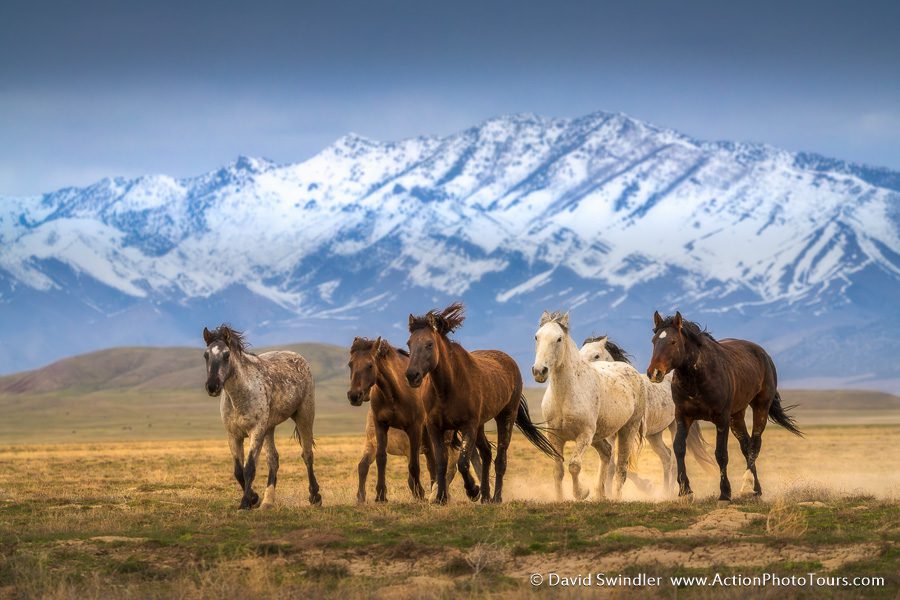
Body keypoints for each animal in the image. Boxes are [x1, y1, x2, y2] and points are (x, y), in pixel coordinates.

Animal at [202, 326, 322, 508]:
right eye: (206, 355)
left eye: (226, 354)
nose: (212, 386)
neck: (240, 396)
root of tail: (298, 358)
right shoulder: (234, 436)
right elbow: (238, 471)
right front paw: (254, 498)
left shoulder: (256, 432)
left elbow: (249, 468)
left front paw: (245, 503)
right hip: (269, 428)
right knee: (273, 459)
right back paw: (267, 502)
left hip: (304, 416)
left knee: (307, 455)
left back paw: (315, 496)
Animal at [348, 338, 468, 502]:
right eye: (350, 364)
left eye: (370, 365)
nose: (354, 396)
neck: (394, 393)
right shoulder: (380, 427)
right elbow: (379, 459)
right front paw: (380, 495)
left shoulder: (414, 430)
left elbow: (414, 466)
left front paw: (420, 493)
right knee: (433, 463)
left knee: (447, 466)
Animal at [406, 302, 560, 504]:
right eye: (409, 344)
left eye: (429, 344)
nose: (412, 375)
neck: (447, 388)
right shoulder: (435, 427)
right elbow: (441, 462)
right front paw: (440, 498)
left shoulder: (468, 426)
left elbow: (463, 463)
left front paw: (473, 490)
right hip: (480, 426)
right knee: (486, 453)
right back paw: (486, 496)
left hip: (505, 417)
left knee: (500, 459)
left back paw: (496, 497)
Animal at [528, 312, 648, 500]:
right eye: (537, 337)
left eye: (559, 338)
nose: (540, 371)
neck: (566, 394)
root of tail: (631, 371)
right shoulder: (555, 437)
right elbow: (558, 470)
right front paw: (560, 499)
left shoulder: (584, 435)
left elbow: (574, 466)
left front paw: (581, 493)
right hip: (599, 434)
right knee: (606, 453)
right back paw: (600, 495)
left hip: (628, 429)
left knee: (621, 468)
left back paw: (615, 498)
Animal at [648, 310, 800, 502]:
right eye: (654, 341)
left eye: (673, 341)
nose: (654, 372)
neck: (698, 379)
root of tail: (763, 354)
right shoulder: (683, 416)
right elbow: (679, 448)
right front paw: (685, 490)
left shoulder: (722, 419)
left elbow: (721, 453)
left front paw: (725, 492)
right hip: (737, 416)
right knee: (746, 446)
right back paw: (756, 489)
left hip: (760, 407)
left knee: (755, 444)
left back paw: (746, 485)